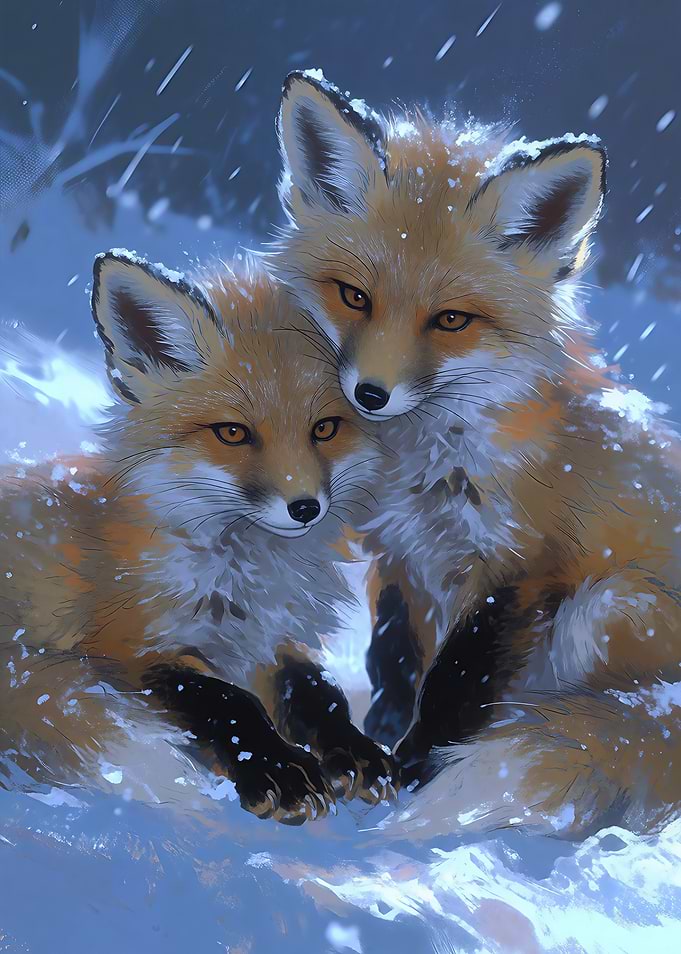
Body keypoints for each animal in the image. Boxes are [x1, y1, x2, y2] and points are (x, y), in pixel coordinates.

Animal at [0, 250, 396, 822]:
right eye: (232, 433)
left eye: (324, 429)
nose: (305, 508)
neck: (240, 574)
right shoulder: (127, 645)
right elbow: (225, 700)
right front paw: (279, 770)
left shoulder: (268, 642)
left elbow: (320, 692)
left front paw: (355, 749)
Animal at [272, 70, 681, 838]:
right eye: (353, 297)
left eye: (451, 320)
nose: (370, 394)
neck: (431, 461)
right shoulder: (400, 555)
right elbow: (395, 659)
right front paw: (380, 736)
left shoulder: (521, 565)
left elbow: (456, 684)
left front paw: (415, 767)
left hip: (607, 608)